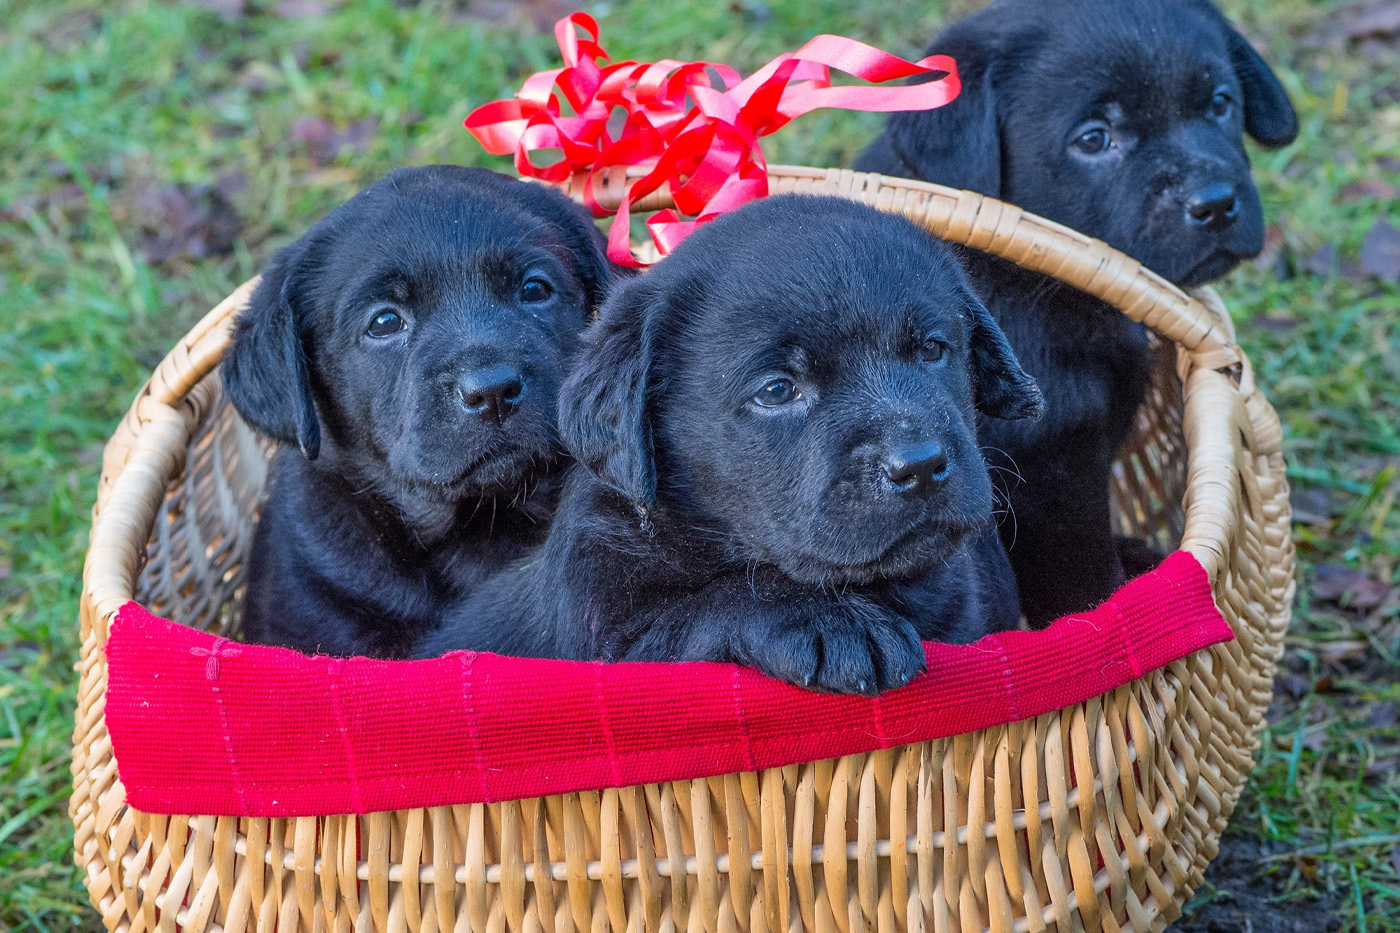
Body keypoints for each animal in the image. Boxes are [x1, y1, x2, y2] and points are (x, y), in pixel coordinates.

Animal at [420, 196, 1047, 689]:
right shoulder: (613, 642)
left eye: (933, 350)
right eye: (777, 390)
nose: (918, 465)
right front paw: (832, 621)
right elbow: (712, 603)